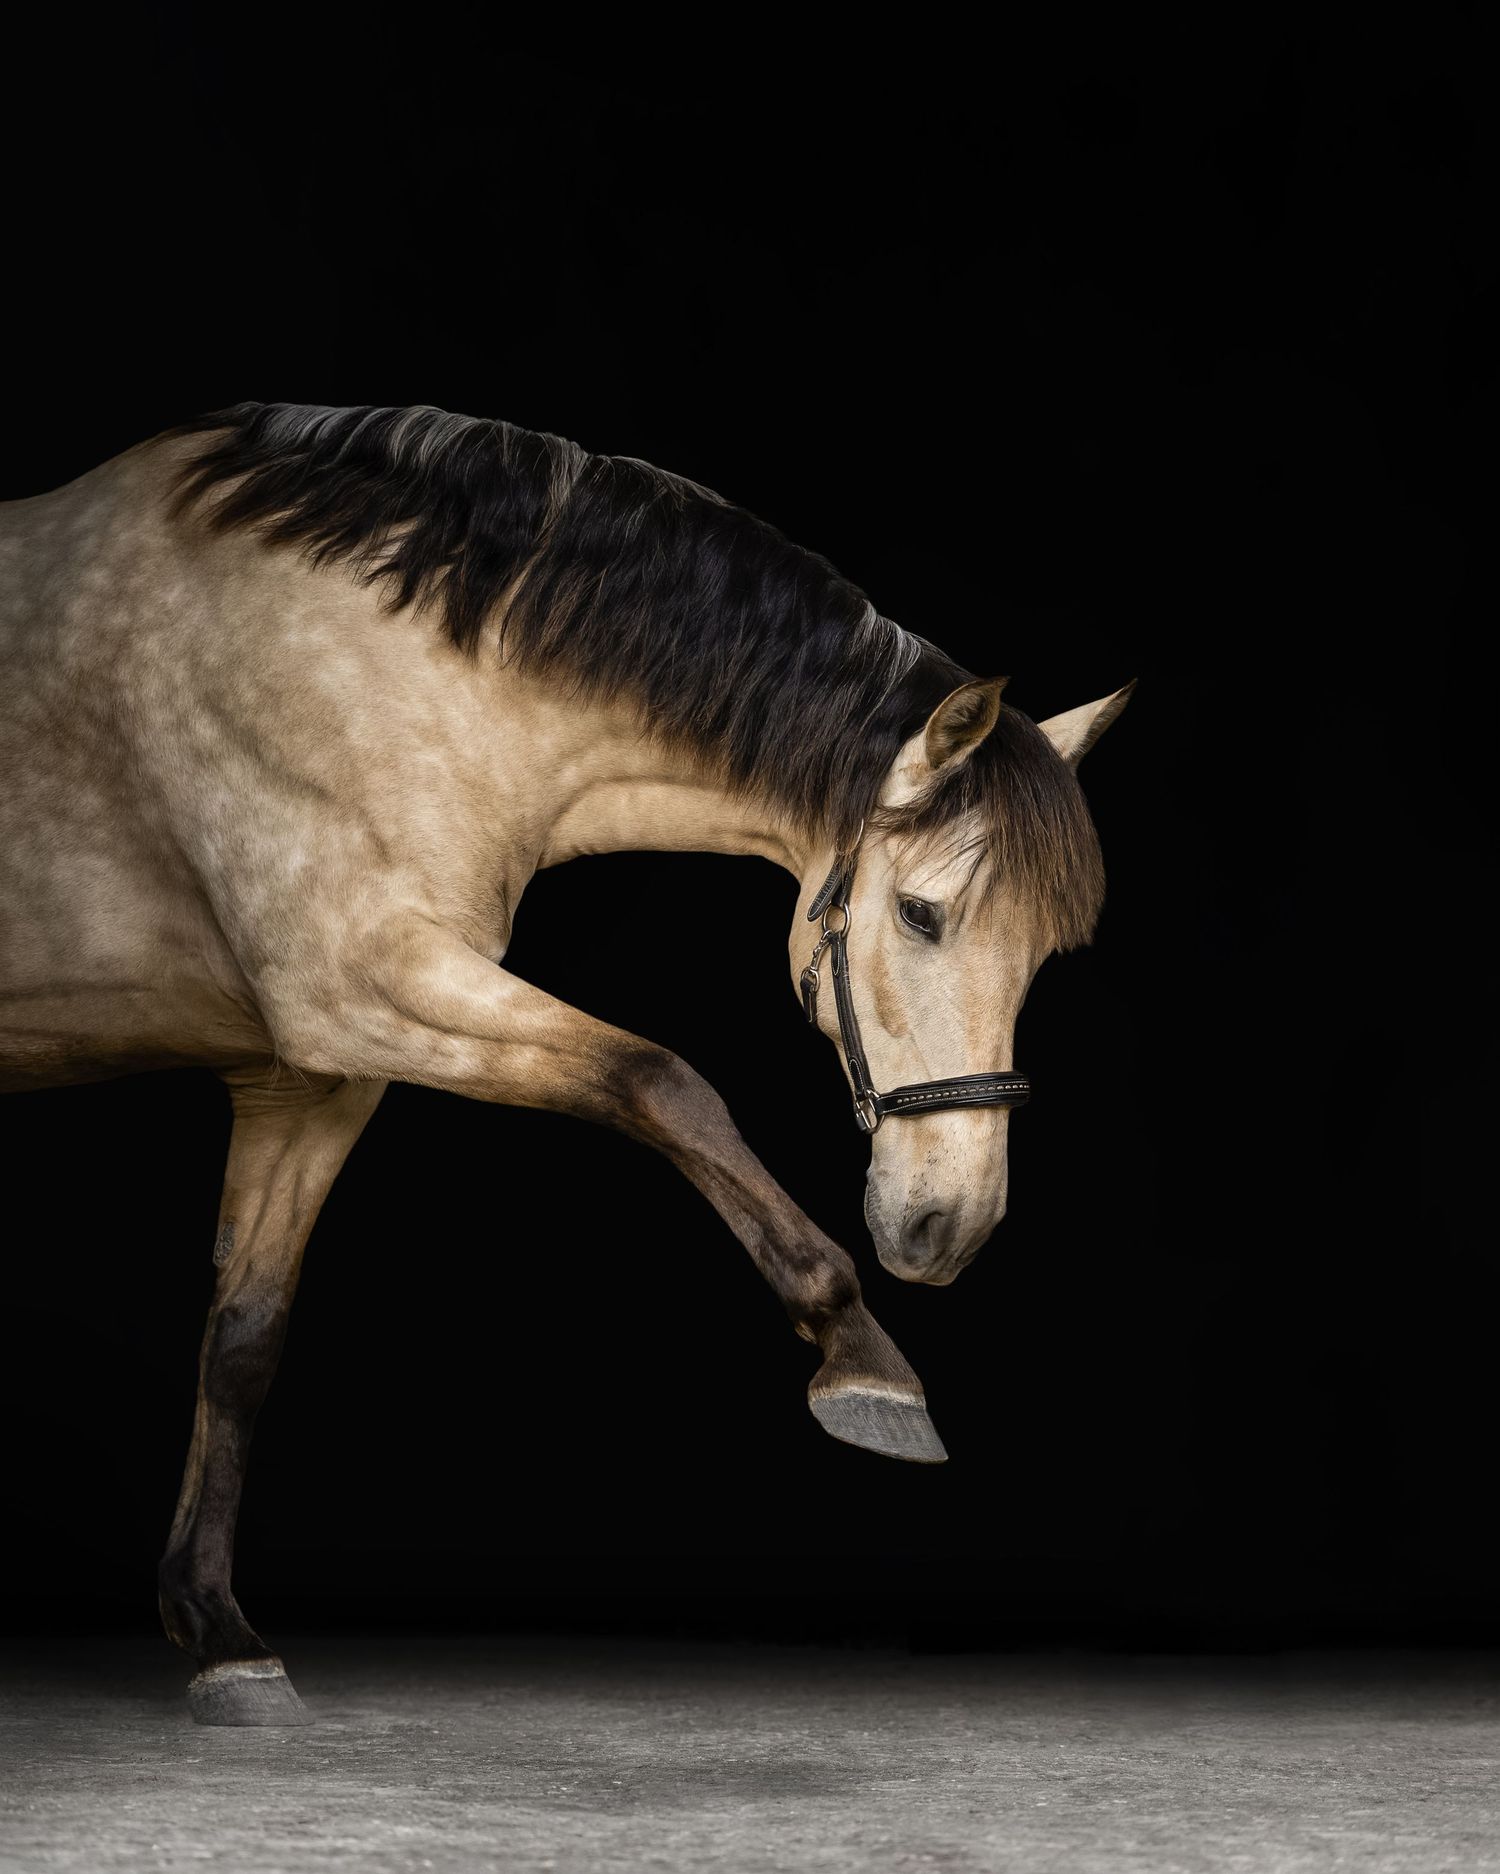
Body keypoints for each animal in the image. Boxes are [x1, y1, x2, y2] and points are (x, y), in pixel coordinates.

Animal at [0, 403, 1131, 1725]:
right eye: (920, 913)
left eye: (1044, 955)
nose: (950, 1226)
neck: (381, 663)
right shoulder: (359, 991)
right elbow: (662, 1079)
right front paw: (864, 1358)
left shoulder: (312, 1074)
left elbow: (243, 1336)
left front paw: (219, 1630)